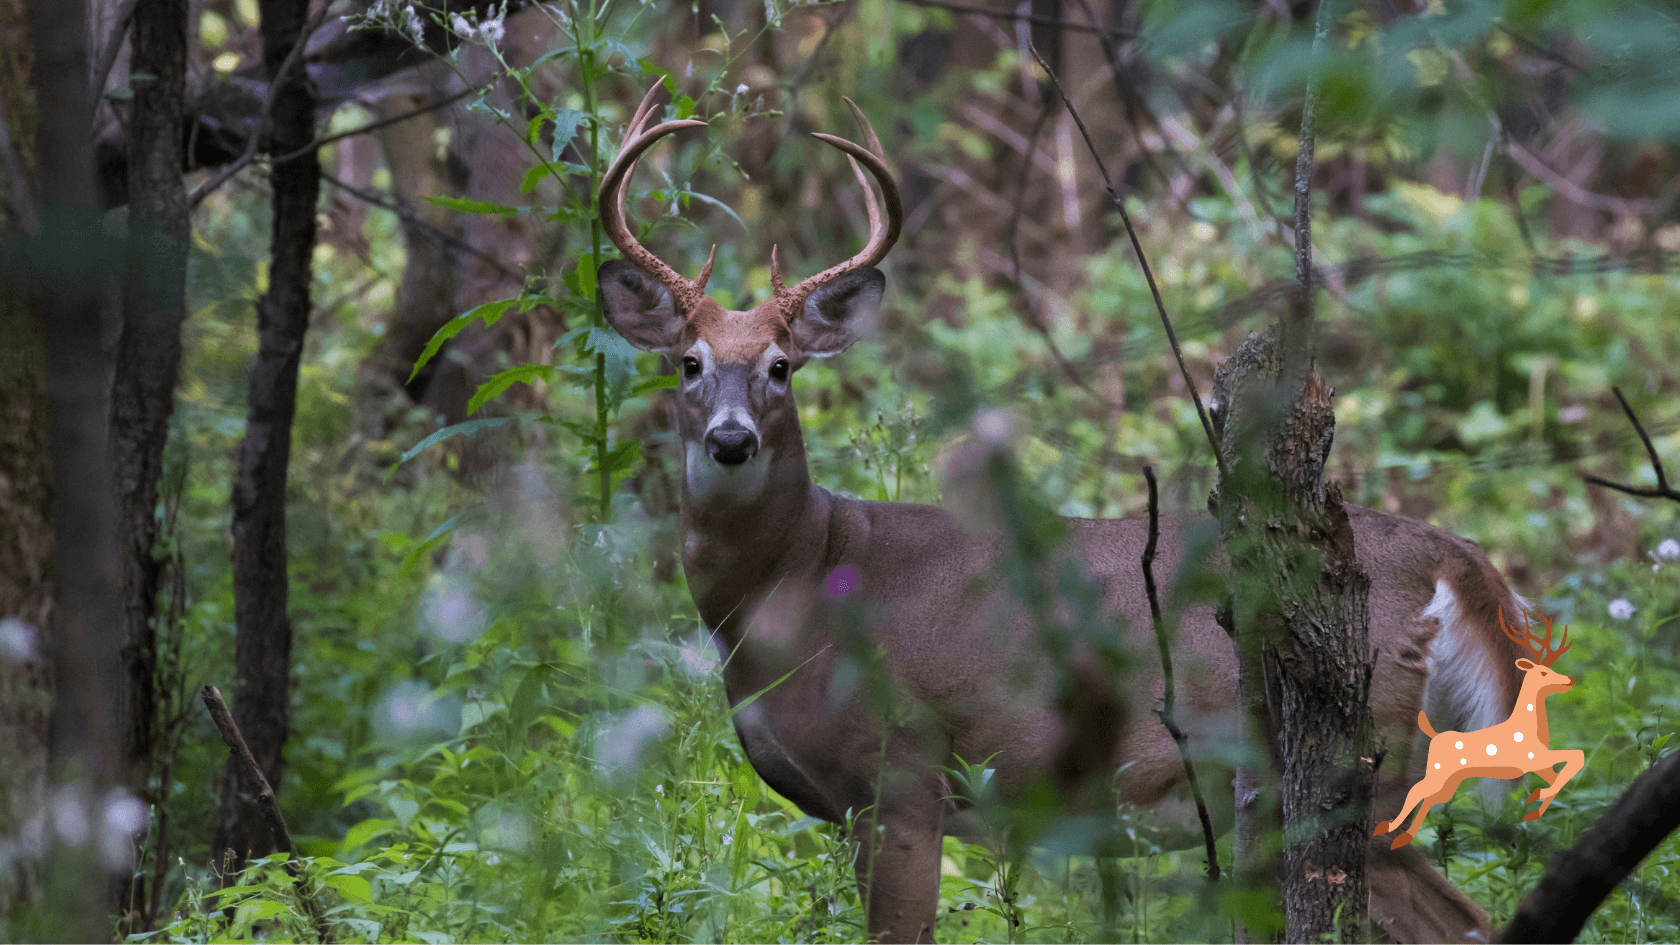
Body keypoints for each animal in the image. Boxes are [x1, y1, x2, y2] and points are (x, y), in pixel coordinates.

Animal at [601, 86, 1538, 934]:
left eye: (781, 366)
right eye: (688, 362)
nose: (730, 439)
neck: (799, 580)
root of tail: (1455, 559)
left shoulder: (904, 773)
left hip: (1356, 768)